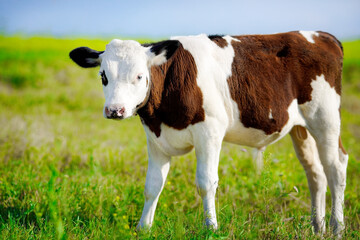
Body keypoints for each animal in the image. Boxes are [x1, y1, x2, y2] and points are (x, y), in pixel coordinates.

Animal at [69, 30, 348, 234]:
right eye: (103, 76)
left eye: (139, 76)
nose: (115, 110)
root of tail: (322, 35)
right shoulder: (156, 139)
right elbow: (152, 185)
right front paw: (143, 228)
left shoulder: (210, 132)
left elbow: (206, 182)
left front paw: (211, 227)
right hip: (301, 129)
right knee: (316, 173)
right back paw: (317, 227)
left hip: (325, 119)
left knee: (336, 167)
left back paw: (337, 227)